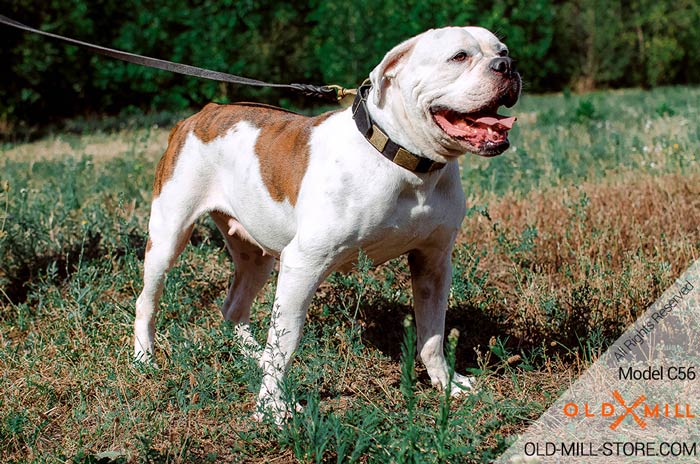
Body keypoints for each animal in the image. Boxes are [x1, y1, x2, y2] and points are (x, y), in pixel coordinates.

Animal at [135, 27, 520, 422]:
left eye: (503, 50)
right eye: (459, 57)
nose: (507, 65)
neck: (405, 162)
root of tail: (204, 113)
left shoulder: (434, 262)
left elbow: (433, 331)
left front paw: (446, 383)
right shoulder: (304, 264)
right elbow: (287, 339)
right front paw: (272, 407)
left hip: (256, 256)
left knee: (233, 308)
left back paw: (253, 354)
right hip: (167, 237)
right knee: (147, 300)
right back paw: (145, 357)